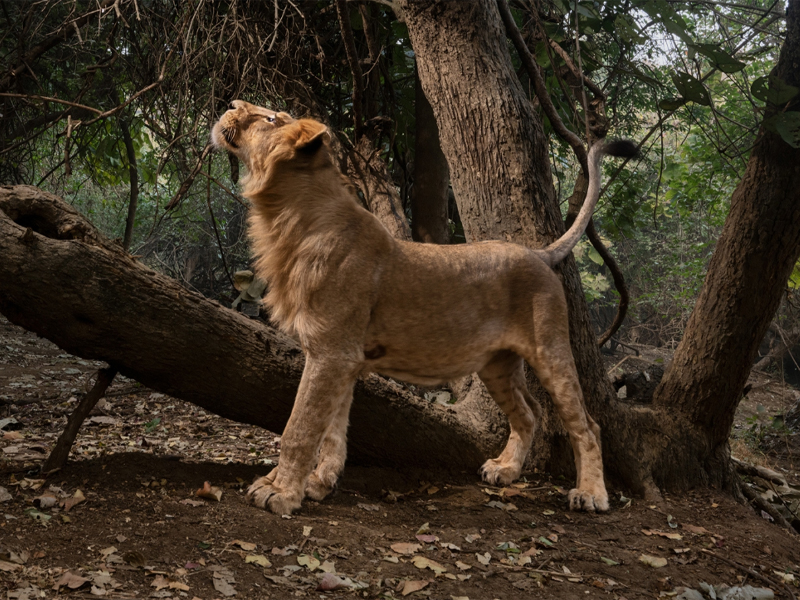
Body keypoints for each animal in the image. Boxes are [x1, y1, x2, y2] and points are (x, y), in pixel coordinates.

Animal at [212, 100, 637, 515]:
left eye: (269, 118)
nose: (230, 103)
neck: (285, 215)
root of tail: (538, 252)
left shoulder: (332, 352)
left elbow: (299, 427)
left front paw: (280, 492)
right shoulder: (343, 359)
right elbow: (332, 429)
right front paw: (319, 483)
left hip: (551, 351)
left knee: (587, 425)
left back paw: (591, 495)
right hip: (496, 365)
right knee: (528, 412)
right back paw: (505, 469)